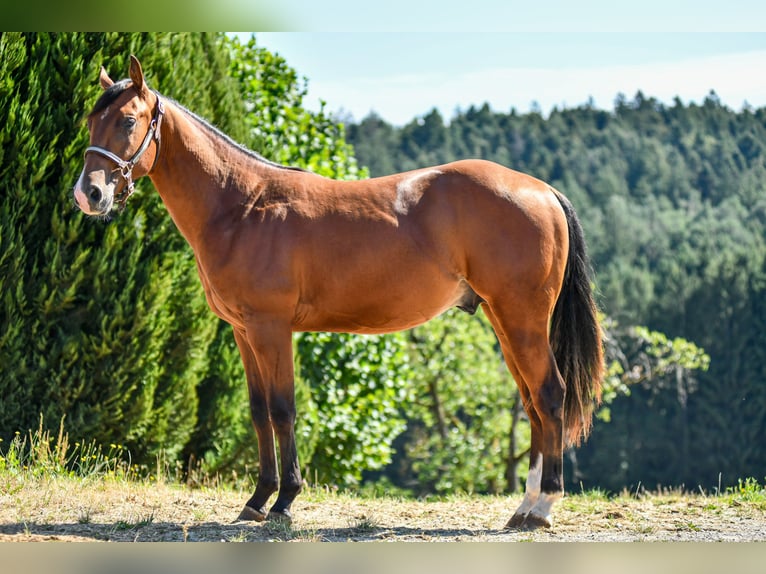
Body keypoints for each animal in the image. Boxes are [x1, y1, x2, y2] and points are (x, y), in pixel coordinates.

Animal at [73, 55, 604, 530]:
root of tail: (541, 190)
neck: (242, 205)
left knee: (550, 395)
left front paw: (284, 502)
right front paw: (257, 500)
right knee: (531, 402)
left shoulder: (271, 329)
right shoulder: (244, 332)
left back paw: (542, 508)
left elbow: (283, 409)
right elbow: (258, 411)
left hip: (522, 319)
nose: (88, 194)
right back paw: (522, 508)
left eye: (127, 120)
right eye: (91, 120)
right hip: (503, 320)